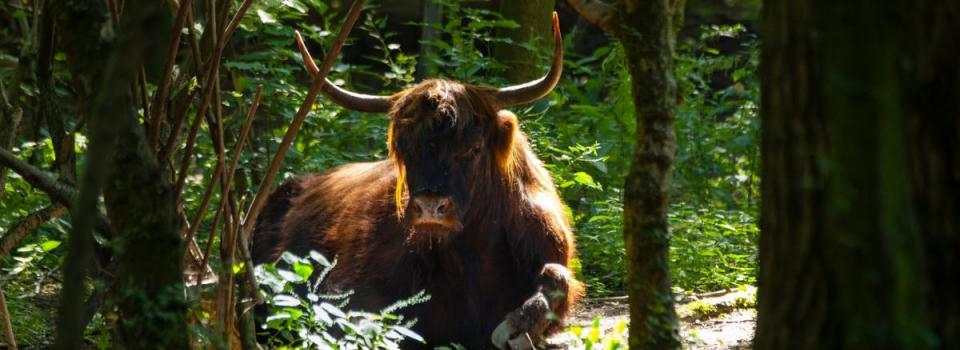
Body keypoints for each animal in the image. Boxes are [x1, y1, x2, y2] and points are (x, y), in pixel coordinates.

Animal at [251, 12, 580, 348]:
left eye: (473, 148)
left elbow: (557, 279)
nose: (430, 207)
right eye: (404, 147)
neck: (473, 249)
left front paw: (517, 327)